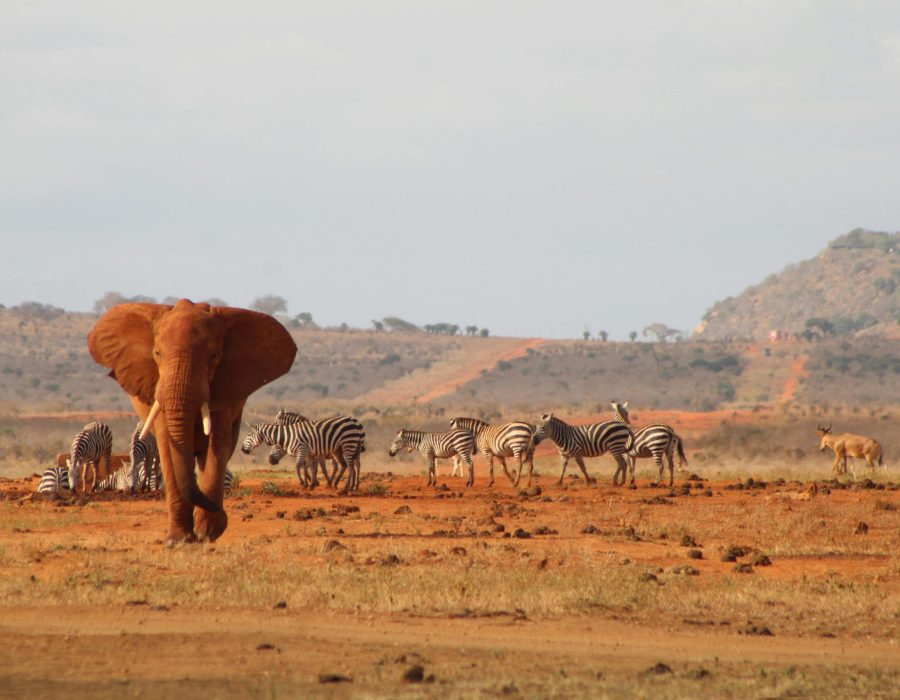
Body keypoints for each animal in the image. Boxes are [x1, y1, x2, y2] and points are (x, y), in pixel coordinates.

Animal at [88, 299, 296, 544]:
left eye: (214, 356)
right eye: (157, 353)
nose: (222, 512)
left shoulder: (224, 389)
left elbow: (216, 447)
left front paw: (208, 532)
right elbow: (168, 450)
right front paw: (179, 540)